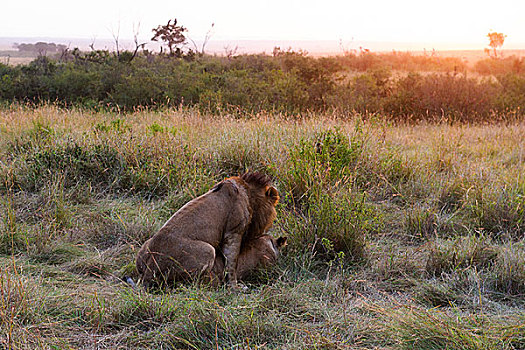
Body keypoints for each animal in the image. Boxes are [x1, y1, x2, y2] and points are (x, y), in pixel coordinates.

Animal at [137, 171, 280, 288]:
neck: (248, 193)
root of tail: (149, 269)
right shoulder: (233, 232)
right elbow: (232, 263)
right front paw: (235, 287)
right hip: (208, 250)